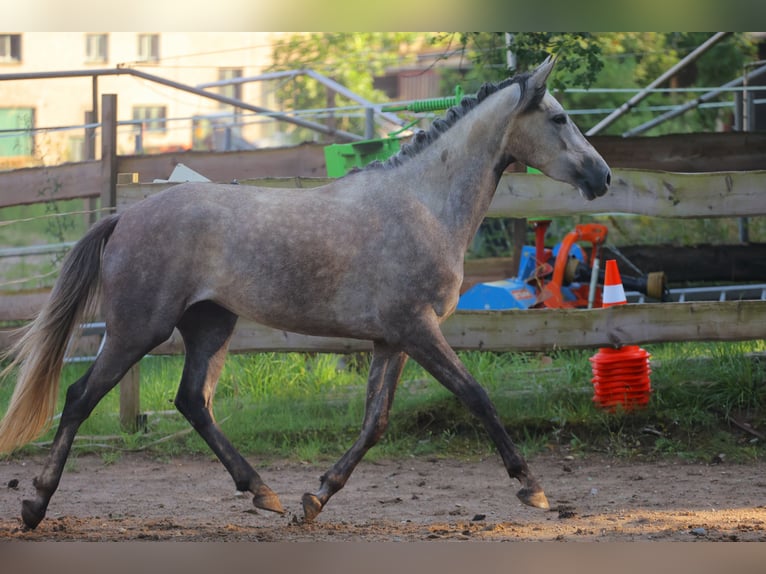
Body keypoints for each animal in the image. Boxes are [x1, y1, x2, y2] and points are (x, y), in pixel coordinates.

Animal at [1, 58, 612, 532]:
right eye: (559, 117)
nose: (602, 176)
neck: (423, 205)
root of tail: (124, 216)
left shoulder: (392, 340)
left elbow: (375, 423)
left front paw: (314, 498)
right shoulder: (418, 329)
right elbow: (477, 396)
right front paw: (532, 488)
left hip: (210, 325)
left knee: (194, 402)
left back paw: (263, 493)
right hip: (136, 330)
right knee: (80, 397)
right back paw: (34, 506)